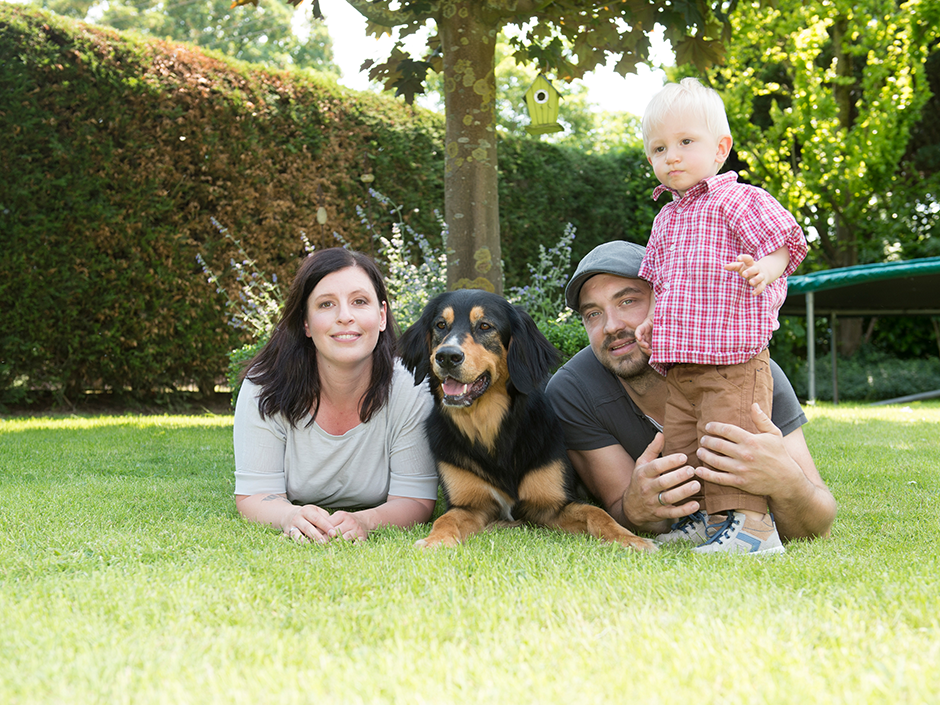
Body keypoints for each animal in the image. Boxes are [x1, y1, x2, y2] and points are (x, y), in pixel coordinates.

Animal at [400, 288, 656, 552]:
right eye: (440, 325)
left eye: (484, 326)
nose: (447, 356)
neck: (489, 425)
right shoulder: (470, 506)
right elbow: (445, 518)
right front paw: (436, 540)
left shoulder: (554, 506)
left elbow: (597, 513)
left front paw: (630, 539)